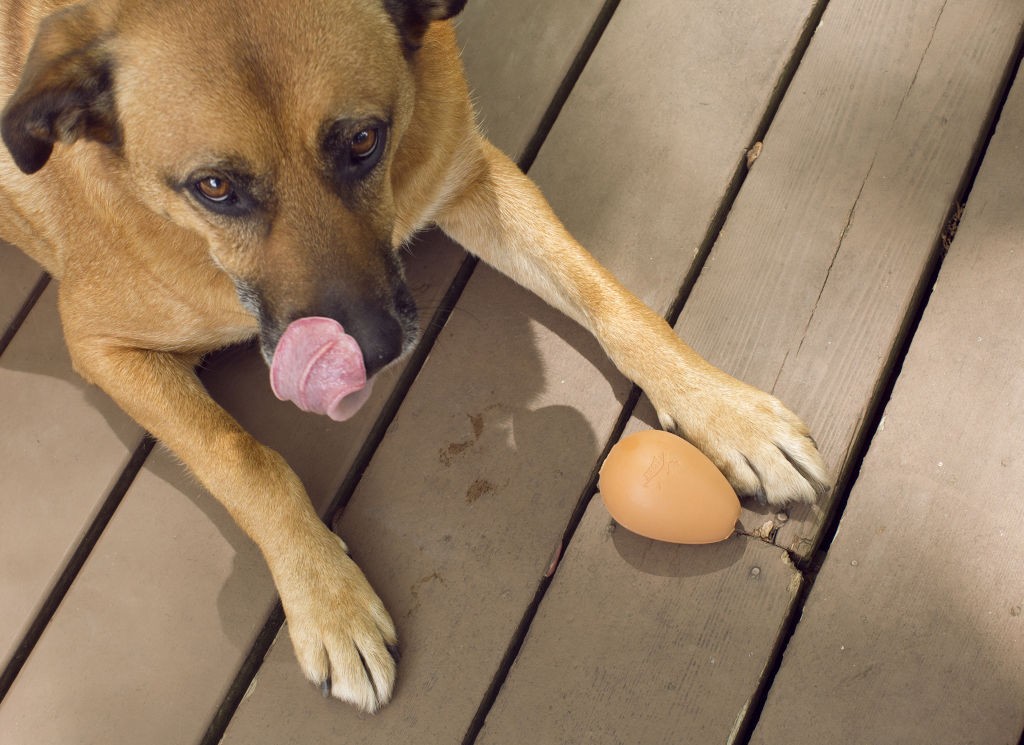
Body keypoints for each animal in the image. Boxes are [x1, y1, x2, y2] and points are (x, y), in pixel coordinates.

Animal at [0, 0, 831, 712]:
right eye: (213, 186)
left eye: (364, 140)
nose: (374, 351)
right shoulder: (102, 344)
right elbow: (244, 457)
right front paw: (328, 600)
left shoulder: (474, 177)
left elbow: (609, 298)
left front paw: (722, 407)